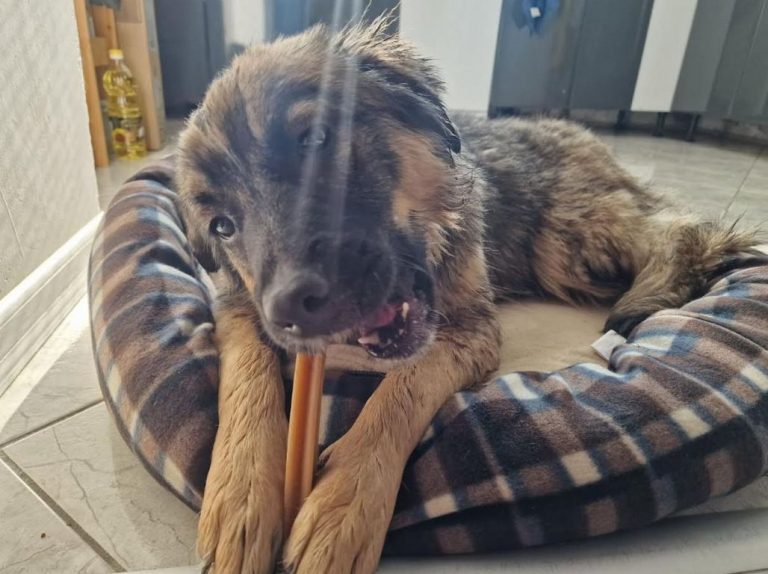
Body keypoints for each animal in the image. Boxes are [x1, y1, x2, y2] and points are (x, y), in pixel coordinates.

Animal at [176, 17, 758, 574]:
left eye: (317, 138)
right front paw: (241, 495)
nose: (291, 309)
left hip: (568, 240)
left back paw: (651, 291)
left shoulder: (471, 328)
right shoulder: (237, 308)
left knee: (683, 227)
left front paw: (345, 502)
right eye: (223, 226)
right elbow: (246, 374)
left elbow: (400, 391)